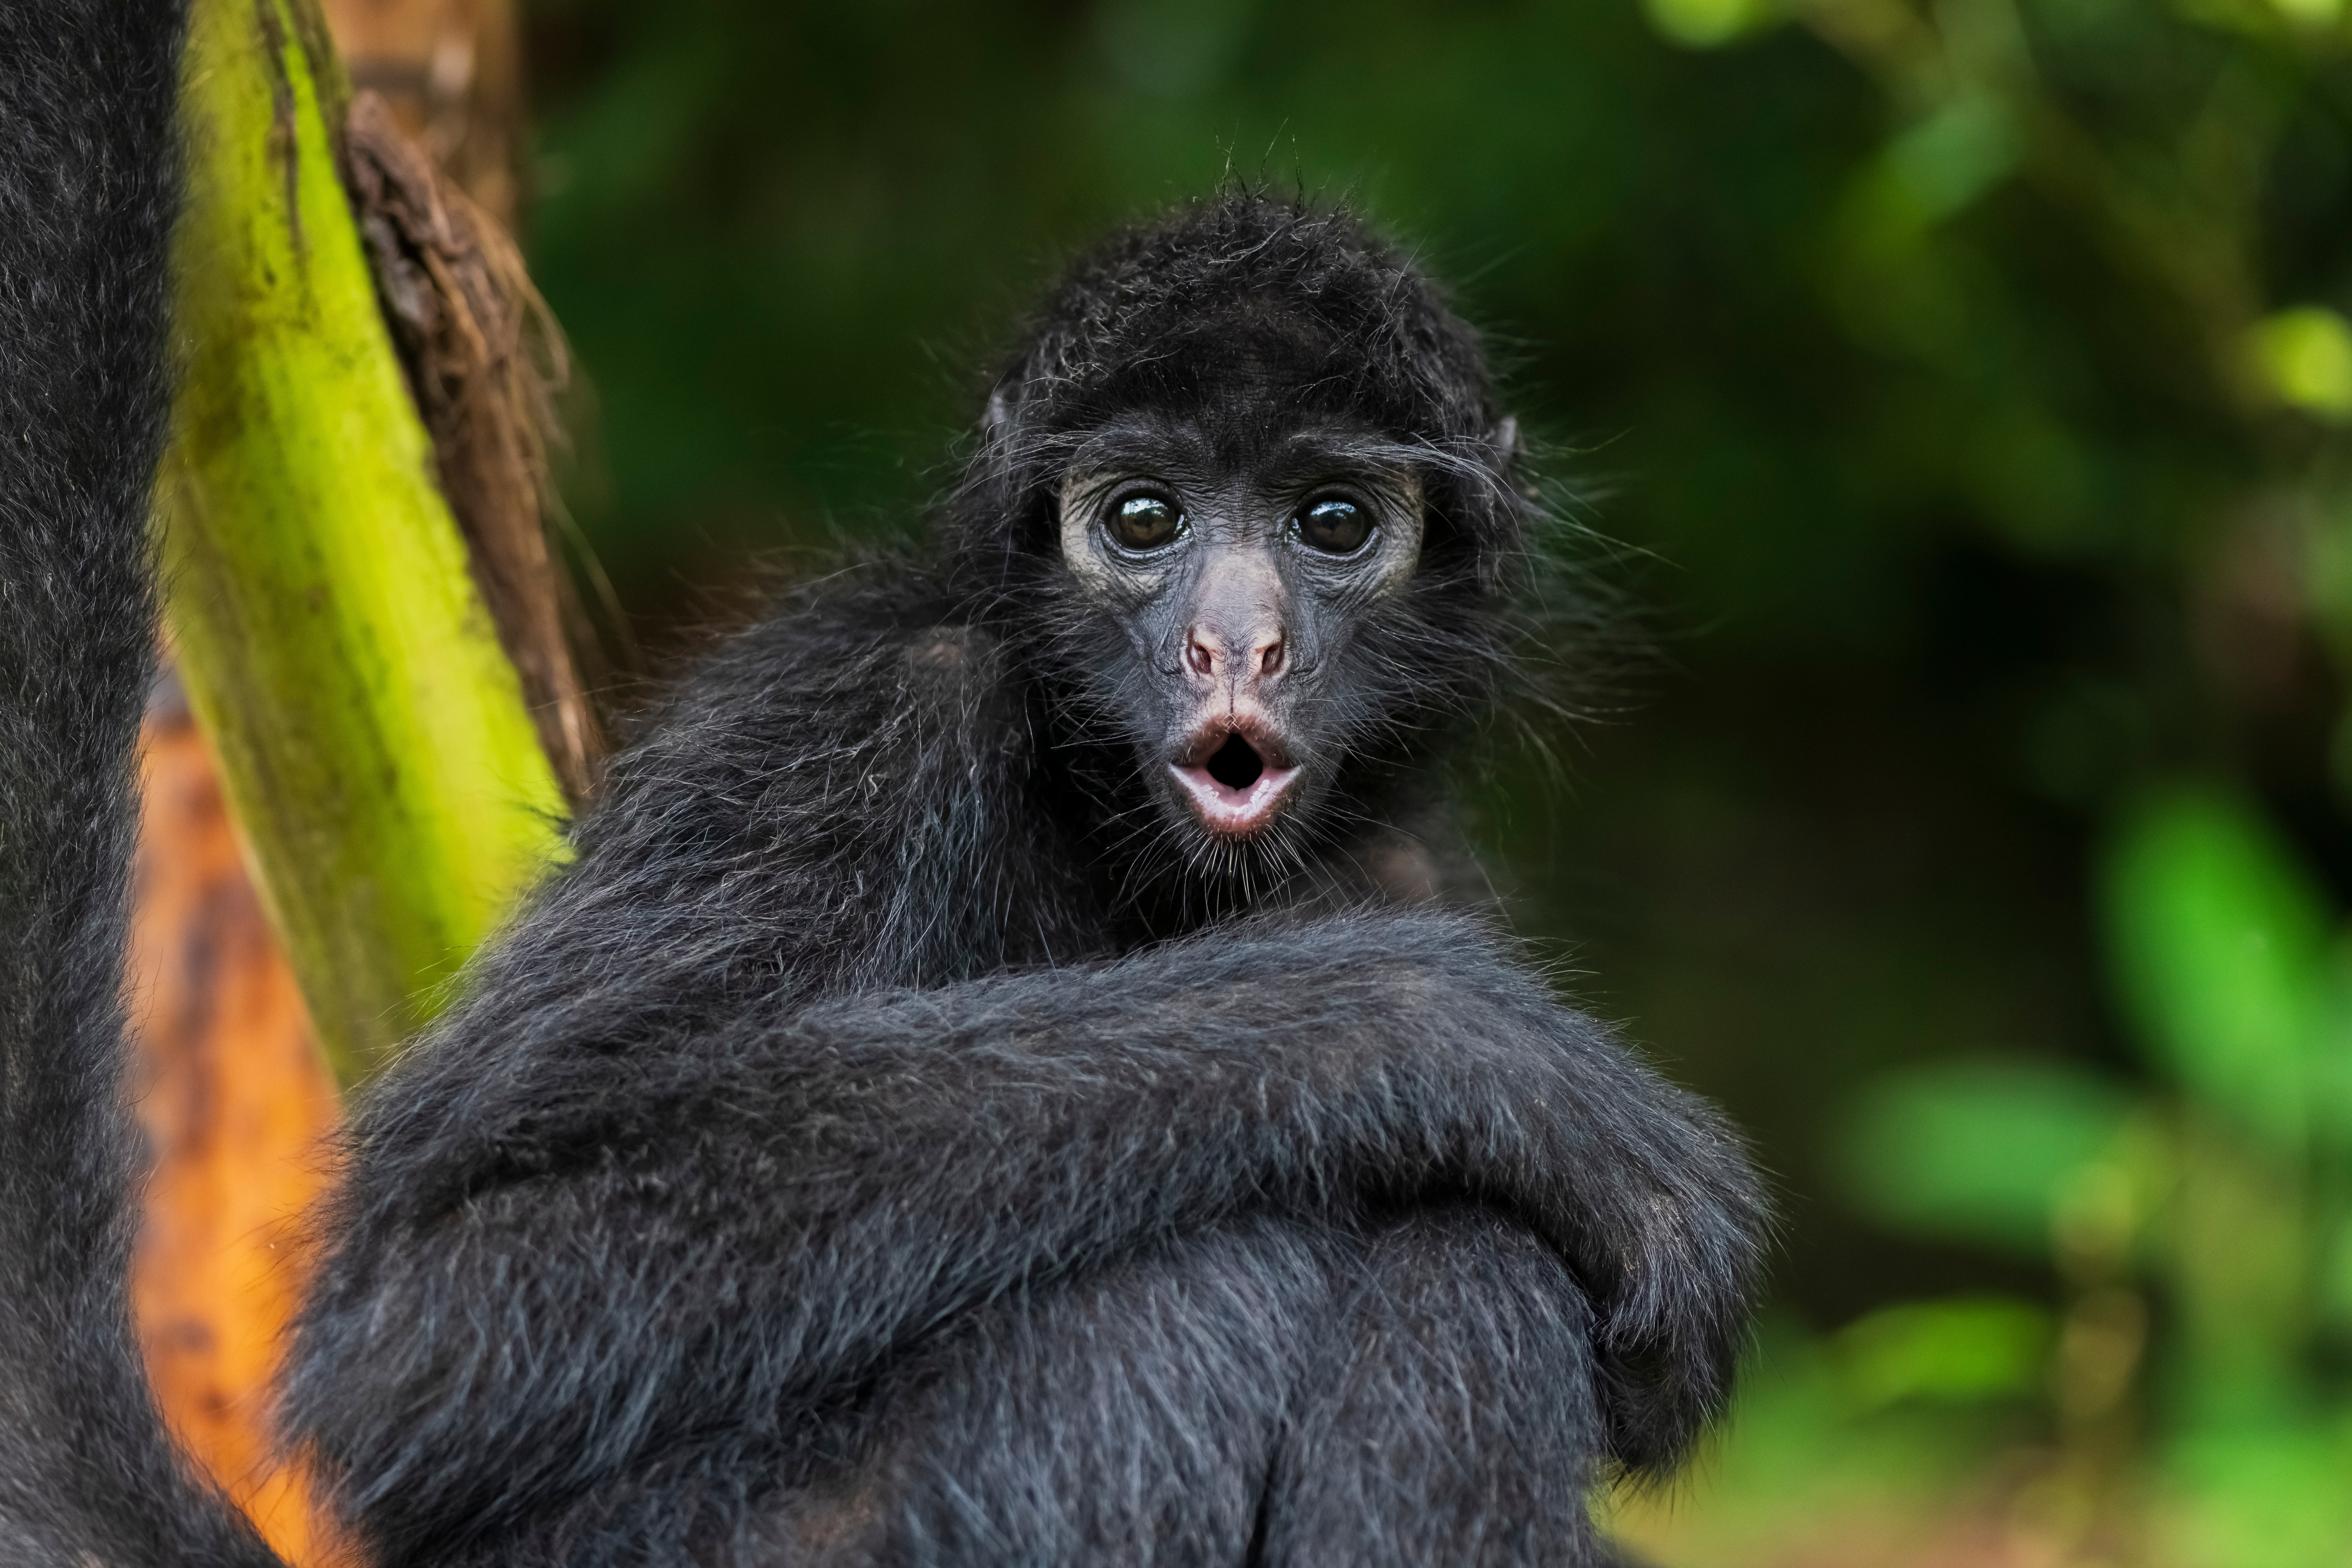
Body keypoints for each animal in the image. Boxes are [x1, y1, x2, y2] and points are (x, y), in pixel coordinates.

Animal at [0, 4, 1768, 1565]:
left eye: (1331, 524)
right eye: (1141, 518)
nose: (1234, 643)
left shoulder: (1406, 848)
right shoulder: (871, 710)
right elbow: (428, 1318)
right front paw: (1432, 1028)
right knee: (1260, 1256)